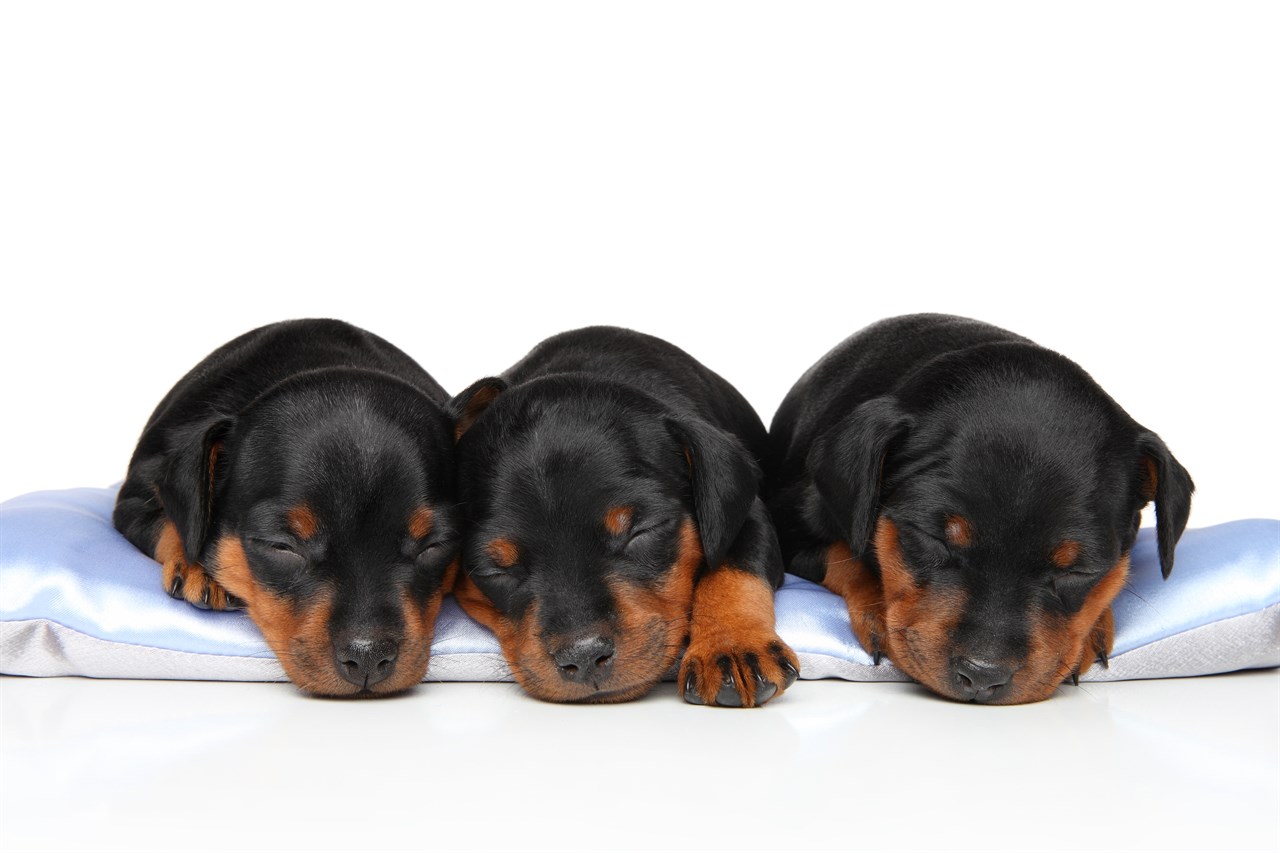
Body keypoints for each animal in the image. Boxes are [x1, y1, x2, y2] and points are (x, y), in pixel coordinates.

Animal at [111, 315, 460, 696]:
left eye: (435, 546)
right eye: (281, 546)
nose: (368, 658)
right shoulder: (132, 502)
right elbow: (171, 524)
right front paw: (199, 568)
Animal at [453, 325, 798, 701]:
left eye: (641, 532)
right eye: (493, 569)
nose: (584, 657)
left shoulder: (749, 514)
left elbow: (734, 569)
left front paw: (731, 648)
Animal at [762, 315, 1192, 701]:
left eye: (1079, 570)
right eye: (934, 538)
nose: (983, 676)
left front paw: (1092, 630)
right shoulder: (789, 527)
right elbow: (846, 555)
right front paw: (879, 613)